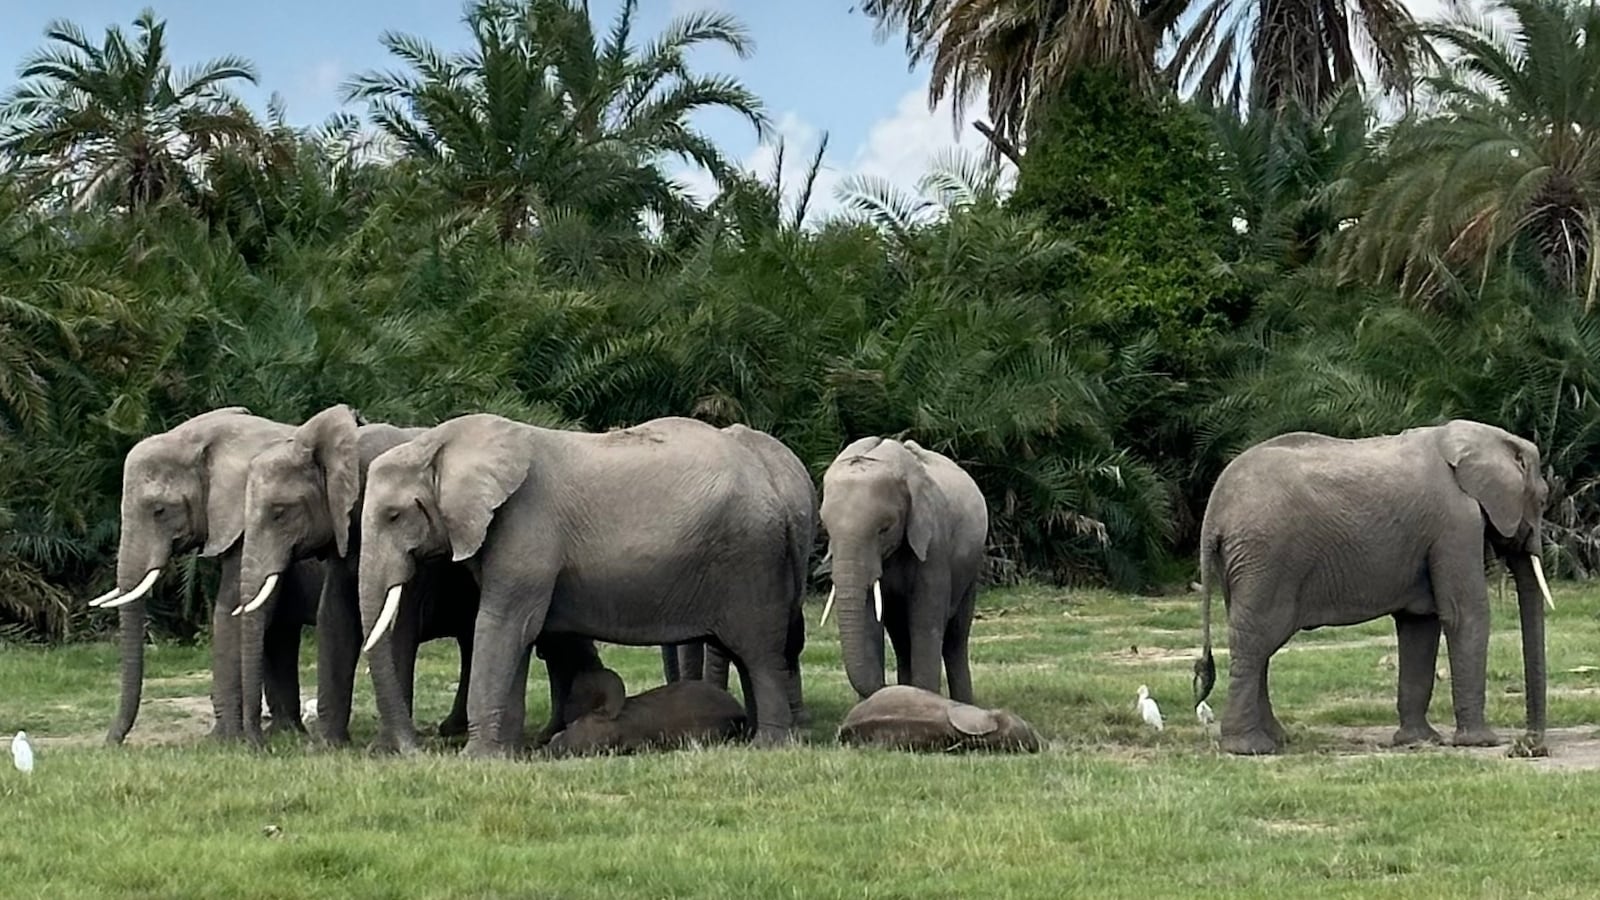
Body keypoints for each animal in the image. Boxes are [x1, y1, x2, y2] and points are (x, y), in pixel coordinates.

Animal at [818, 437, 988, 703]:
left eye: (884, 529)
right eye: (826, 528)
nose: (885, 686)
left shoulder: (934, 544)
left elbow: (925, 622)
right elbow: (869, 623)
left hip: (971, 568)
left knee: (956, 637)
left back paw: (962, 702)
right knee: (901, 638)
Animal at [1193, 419, 1554, 756]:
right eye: (1543, 498)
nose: (1531, 742)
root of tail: (1214, 514)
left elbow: (1419, 624)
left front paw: (1418, 742)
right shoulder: (1456, 522)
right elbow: (1464, 615)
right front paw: (1480, 742)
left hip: (1245, 563)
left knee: (1259, 643)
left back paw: (1277, 740)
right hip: (1267, 555)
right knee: (1256, 639)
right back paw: (1251, 748)